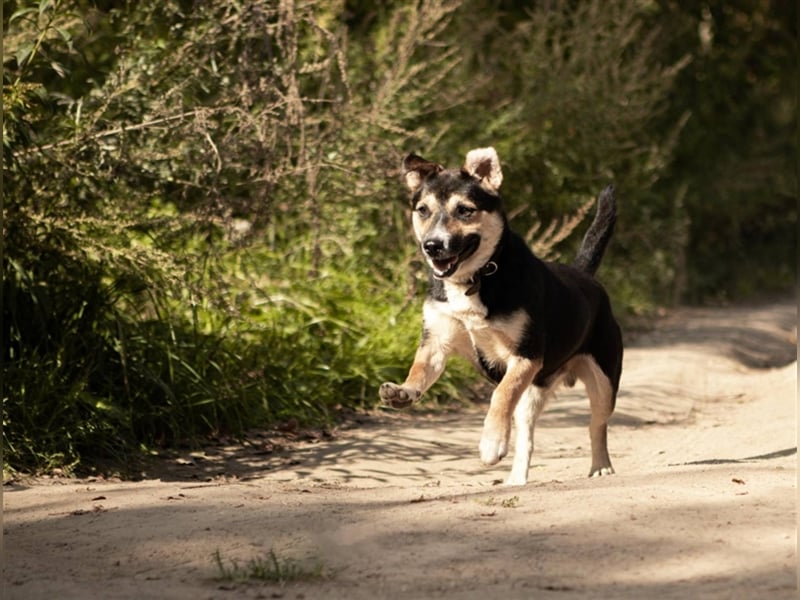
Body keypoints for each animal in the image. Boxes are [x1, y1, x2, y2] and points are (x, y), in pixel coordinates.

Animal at [378, 148, 620, 486]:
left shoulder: (525, 356)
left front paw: (491, 442)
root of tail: (586, 277)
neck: (475, 279)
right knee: (526, 439)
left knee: (597, 425)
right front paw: (402, 391)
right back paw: (516, 479)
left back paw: (600, 466)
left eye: (465, 210)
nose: (432, 246)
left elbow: (500, 395)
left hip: (603, 381)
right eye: (423, 210)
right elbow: (419, 371)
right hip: (532, 395)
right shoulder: (436, 342)